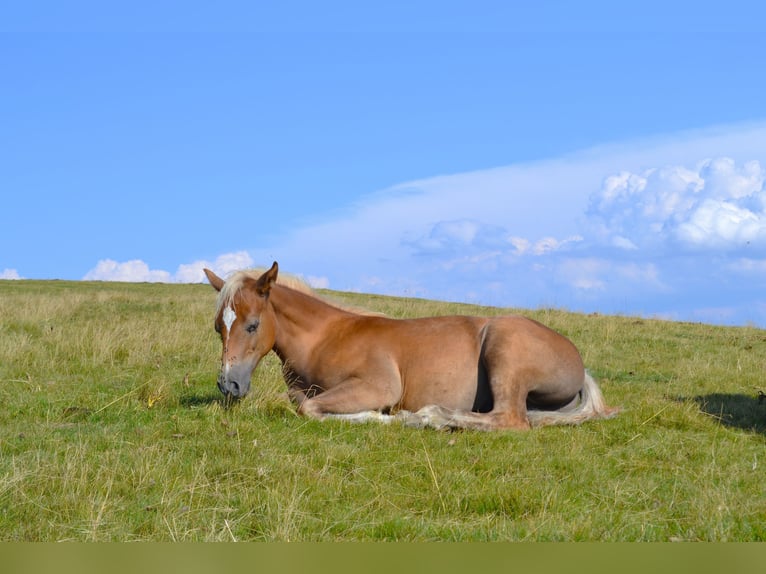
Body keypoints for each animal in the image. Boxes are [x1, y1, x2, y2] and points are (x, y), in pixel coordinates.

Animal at [203, 262, 618, 430]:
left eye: (253, 325)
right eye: (218, 327)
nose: (229, 385)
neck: (325, 338)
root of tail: (577, 361)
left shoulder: (377, 385)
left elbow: (309, 409)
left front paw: (383, 417)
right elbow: (302, 402)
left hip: (505, 351)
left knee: (510, 420)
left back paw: (429, 417)